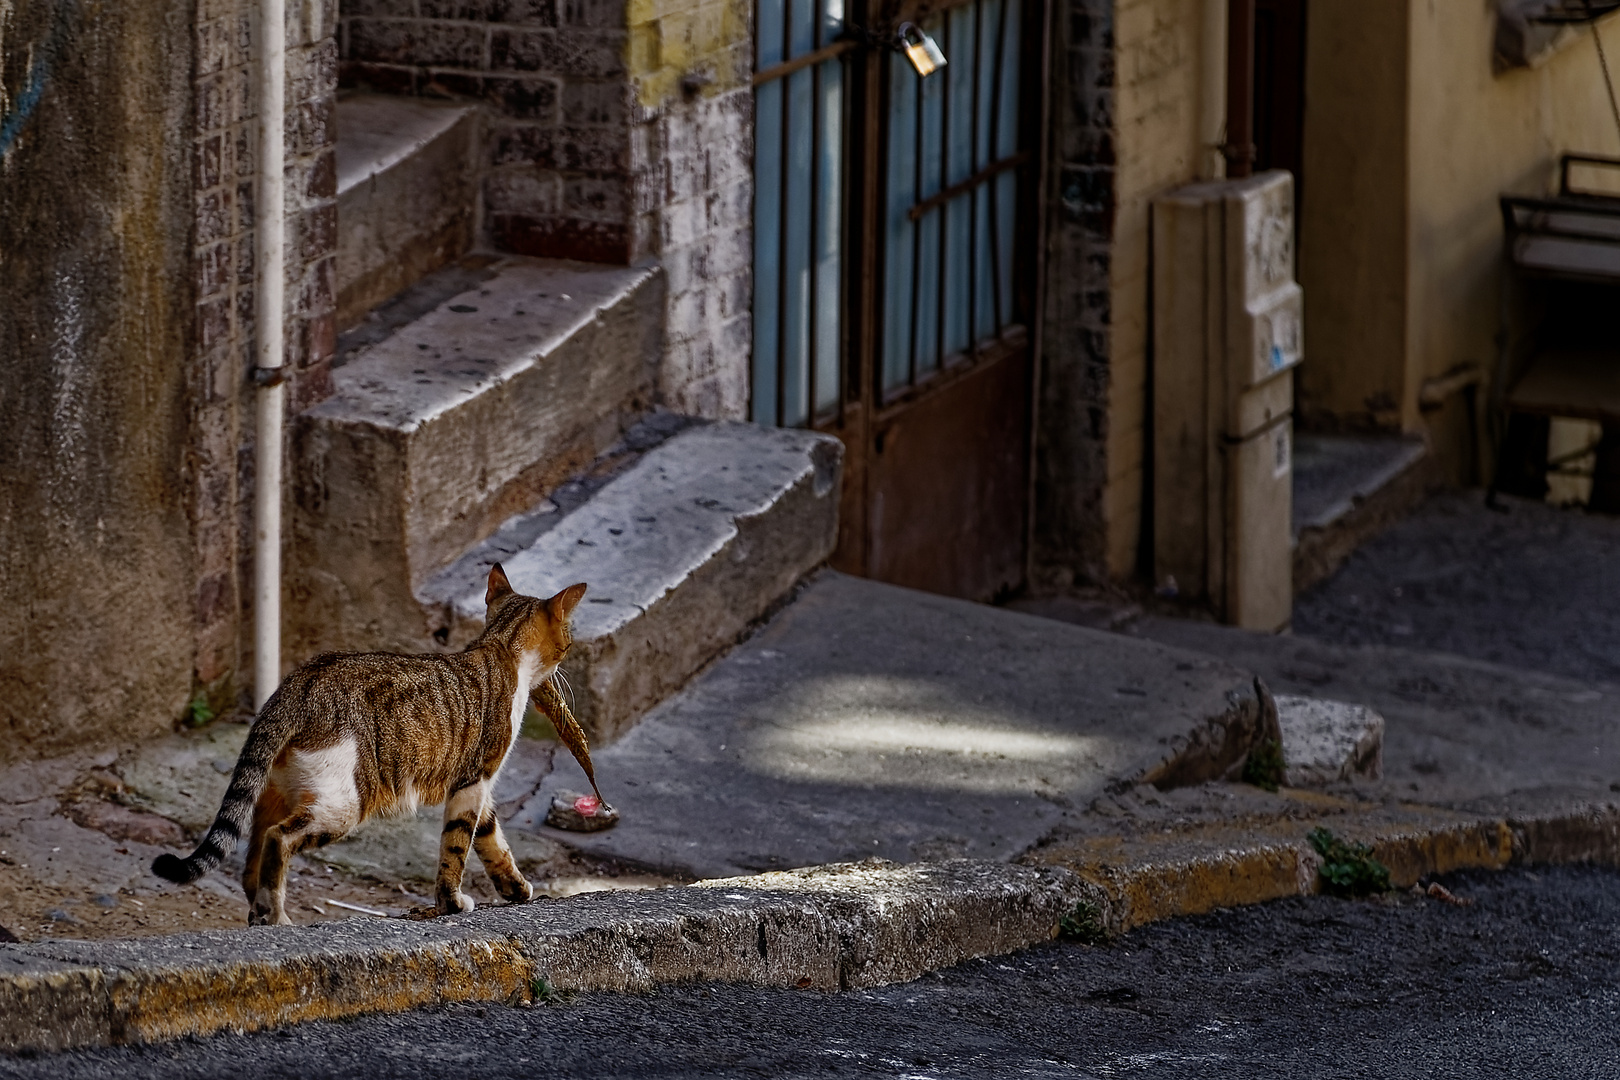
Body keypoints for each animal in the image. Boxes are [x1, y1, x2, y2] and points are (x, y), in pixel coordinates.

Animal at [154, 566, 586, 932]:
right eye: (568, 640)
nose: (568, 656)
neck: (500, 648)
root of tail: (298, 685)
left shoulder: (477, 785)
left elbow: (491, 838)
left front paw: (515, 888)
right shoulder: (474, 778)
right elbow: (457, 845)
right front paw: (452, 904)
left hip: (277, 791)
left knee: (253, 857)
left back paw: (261, 915)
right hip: (344, 802)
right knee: (279, 839)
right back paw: (277, 918)